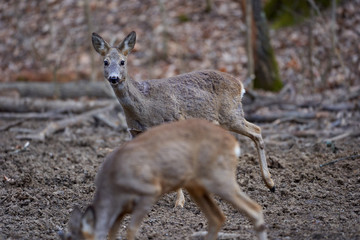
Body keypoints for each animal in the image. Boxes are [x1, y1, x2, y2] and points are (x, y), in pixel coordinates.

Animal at [59, 119, 268, 240]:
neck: (114, 187)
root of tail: (233, 143)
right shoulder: (122, 209)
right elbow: (112, 233)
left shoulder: (149, 191)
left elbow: (131, 230)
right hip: (196, 185)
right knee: (217, 218)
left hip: (218, 176)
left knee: (255, 209)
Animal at [91, 31, 274, 204]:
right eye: (105, 62)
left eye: (122, 61)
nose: (114, 78)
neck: (144, 107)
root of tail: (240, 85)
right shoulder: (134, 132)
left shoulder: (172, 123)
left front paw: (179, 202)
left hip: (231, 114)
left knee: (256, 130)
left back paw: (270, 184)